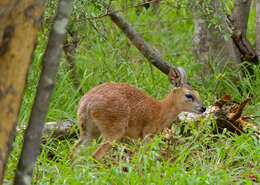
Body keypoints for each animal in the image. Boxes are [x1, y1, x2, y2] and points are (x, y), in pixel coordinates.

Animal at [72, 67, 206, 160]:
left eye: (198, 93)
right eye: (189, 95)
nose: (203, 108)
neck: (160, 111)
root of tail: (86, 103)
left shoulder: (138, 136)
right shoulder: (147, 132)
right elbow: (147, 155)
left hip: (89, 128)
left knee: (74, 150)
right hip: (114, 128)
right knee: (95, 155)